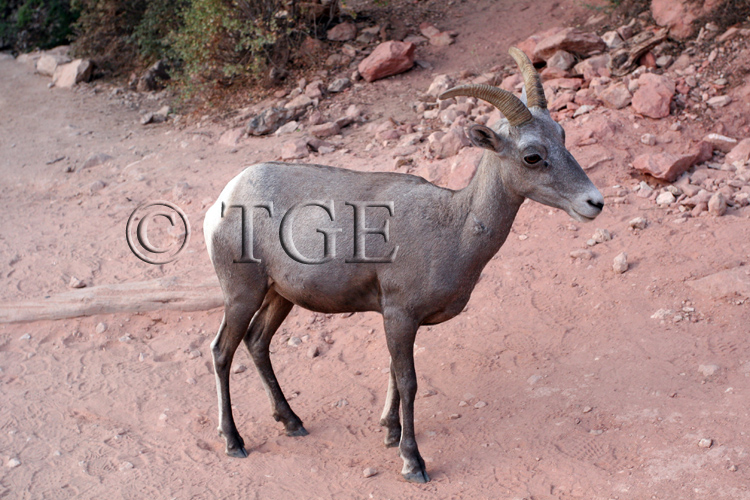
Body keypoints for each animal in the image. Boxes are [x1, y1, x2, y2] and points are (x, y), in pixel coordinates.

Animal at [204, 47, 604, 484]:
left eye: (562, 136)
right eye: (532, 156)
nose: (594, 202)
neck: (453, 226)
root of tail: (224, 201)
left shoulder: (398, 319)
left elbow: (394, 376)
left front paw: (389, 432)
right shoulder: (399, 315)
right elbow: (409, 382)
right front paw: (412, 461)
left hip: (280, 296)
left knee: (257, 342)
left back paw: (292, 422)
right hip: (242, 294)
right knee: (222, 351)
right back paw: (234, 441)